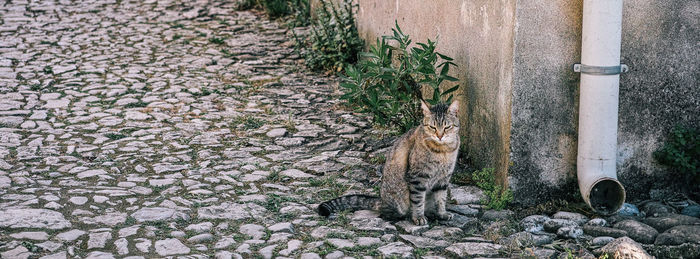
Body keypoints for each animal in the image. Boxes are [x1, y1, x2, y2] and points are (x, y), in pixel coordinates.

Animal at [318, 100, 460, 226]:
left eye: (447, 127)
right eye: (432, 127)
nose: (440, 136)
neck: (444, 151)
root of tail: (381, 200)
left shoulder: (443, 179)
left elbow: (441, 199)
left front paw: (442, 214)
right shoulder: (418, 178)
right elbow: (418, 200)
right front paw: (418, 217)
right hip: (397, 201)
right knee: (387, 211)